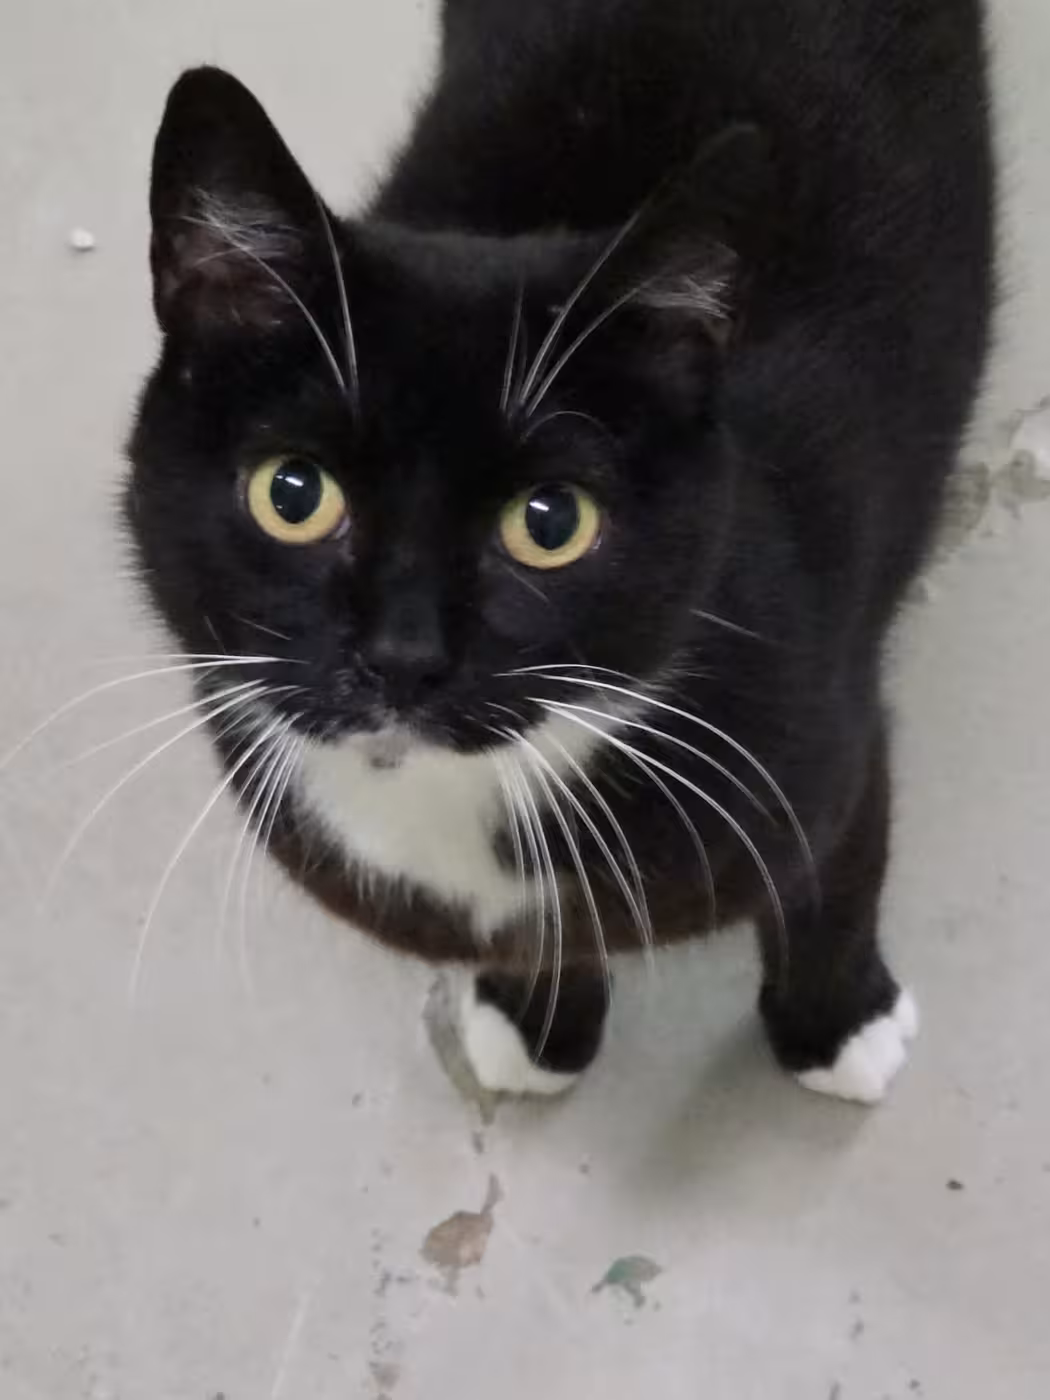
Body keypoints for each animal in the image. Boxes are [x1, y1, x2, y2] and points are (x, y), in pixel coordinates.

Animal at [126, 0, 994, 1105]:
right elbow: (552, 941)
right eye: (292, 494)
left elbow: (836, 874)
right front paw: (538, 1023)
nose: (403, 655)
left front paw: (840, 1028)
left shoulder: (827, 726)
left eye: (550, 522)